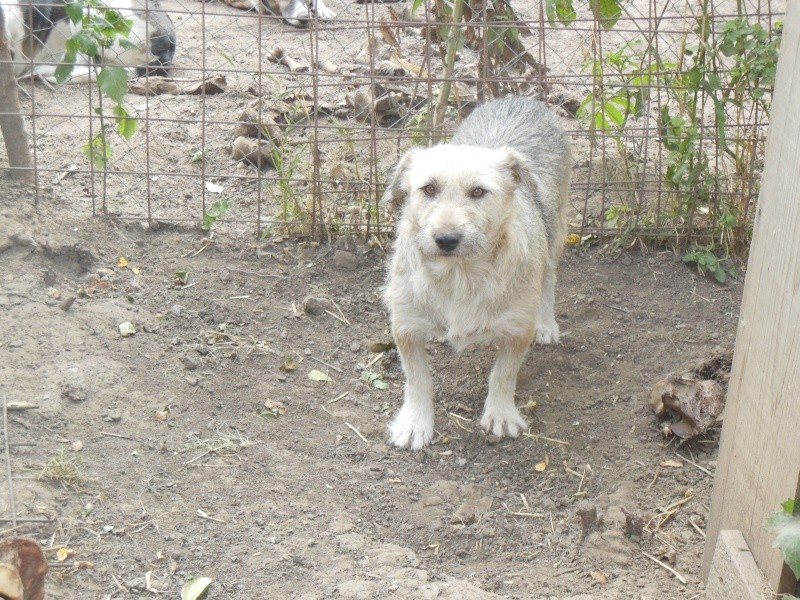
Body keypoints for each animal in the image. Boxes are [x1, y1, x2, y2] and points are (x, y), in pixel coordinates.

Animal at [384, 95, 572, 450]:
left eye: (478, 192)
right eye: (428, 189)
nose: (446, 239)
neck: (459, 275)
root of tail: (520, 98)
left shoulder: (517, 329)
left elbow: (503, 374)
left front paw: (500, 414)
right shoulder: (406, 326)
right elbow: (417, 379)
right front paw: (416, 422)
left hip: (555, 233)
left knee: (551, 277)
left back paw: (546, 323)